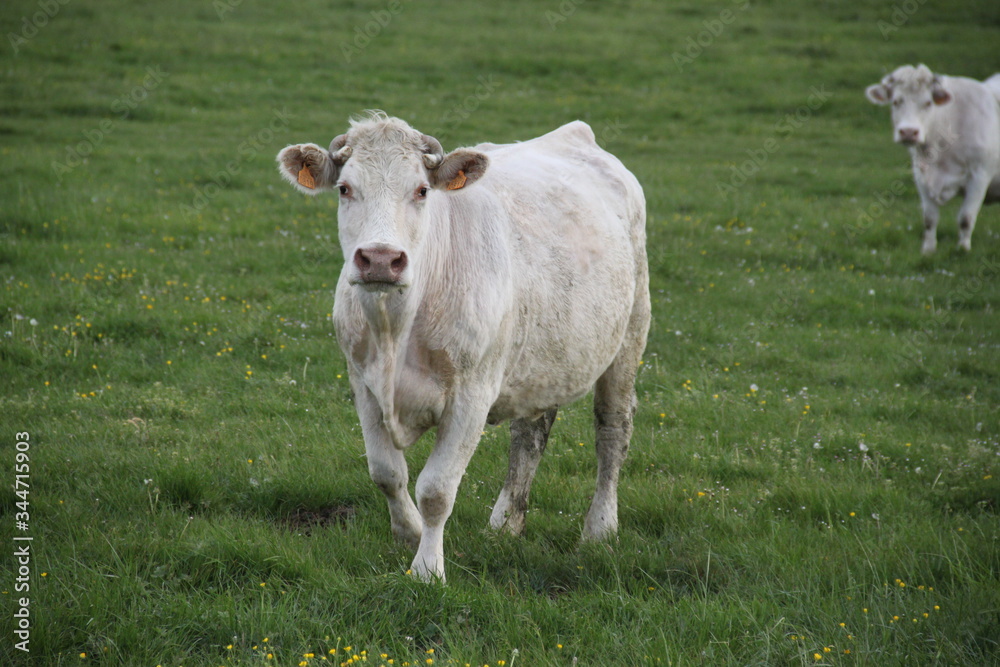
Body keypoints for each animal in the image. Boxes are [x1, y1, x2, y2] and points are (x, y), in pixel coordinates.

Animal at [276, 112, 648, 580]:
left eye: (421, 190)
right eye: (344, 188)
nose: (380, 259)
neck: (395, 328)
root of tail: (575, 133)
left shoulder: (472, 394)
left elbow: (436, 490)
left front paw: (427, 570)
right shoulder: (363, 384)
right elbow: (386, 473)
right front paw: (410, 535)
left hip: (630, 333)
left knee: (612, 428)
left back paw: (599, 529)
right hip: (541, 357)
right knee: (530, 432)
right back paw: (505, 523)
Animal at [860, 65, 1000, 253]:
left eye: (928, 103)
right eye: (896, 101)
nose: (908, 132)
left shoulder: (980, 175)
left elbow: (965, 218)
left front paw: (963, 249)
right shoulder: (921, 176)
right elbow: (929, 219)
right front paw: (928, 250)